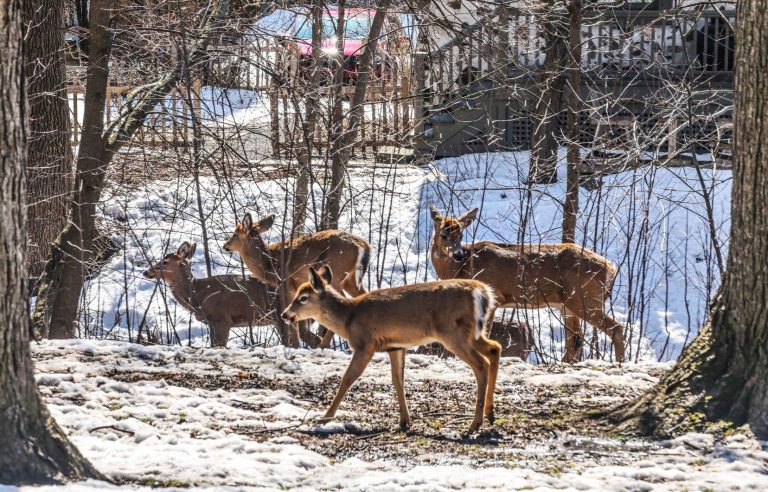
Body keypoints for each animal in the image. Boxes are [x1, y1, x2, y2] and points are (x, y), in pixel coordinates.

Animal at [222, 213, 372, 348]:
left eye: (235, 234)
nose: (225, 245)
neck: (269, 264)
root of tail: (364, 245)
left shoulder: (285, 284)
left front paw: (294, 344)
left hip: (336, 273)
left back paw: (324, 345)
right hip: (351, 280)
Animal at [280, 266, 500, 434]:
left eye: (303, 298)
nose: (284, 314)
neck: (348, 318)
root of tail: (483, 292)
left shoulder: (365, 344)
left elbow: (347, 379)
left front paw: (326, 417)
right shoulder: (395, 347)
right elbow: (398, 380)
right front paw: (404, 421)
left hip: (452, 332)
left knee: (481, 364)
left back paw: (474, 424)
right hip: (474, 332)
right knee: (494, 349)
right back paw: (490, 413)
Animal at [428, 206, 628, 364]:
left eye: (461, 235)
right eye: (443, 235)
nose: (458, 255)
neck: (462, 267)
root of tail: (611, 268)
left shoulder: (495, 295)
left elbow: (485, 332)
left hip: (584, 297)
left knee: (615, 328)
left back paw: (619, 363)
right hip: (568, 304)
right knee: (576, 337)